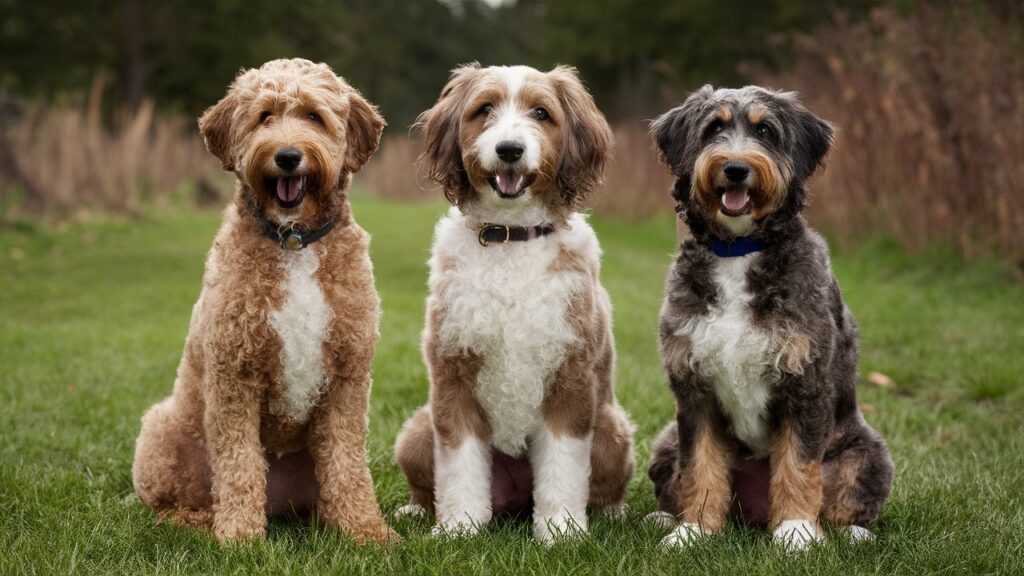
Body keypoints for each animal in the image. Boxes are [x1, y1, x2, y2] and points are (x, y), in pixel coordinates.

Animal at [130, 58, 393, 541]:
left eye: (314, 116)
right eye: (264, 116)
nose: (287, 156)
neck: (294, 241)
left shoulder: (347, 377)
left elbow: (348, 464)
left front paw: (367, 532)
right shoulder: (235, 374)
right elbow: (239, 464)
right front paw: (240, 537)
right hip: (161, 431)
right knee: (171, 506)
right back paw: (202, 521)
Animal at [391, 65, 630, 541]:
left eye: (541, 113)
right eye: (484, 109)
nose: (509, 149)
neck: (509, 238)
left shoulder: (570, 377)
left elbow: (563, 467)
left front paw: (561, 531)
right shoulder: (453, 376)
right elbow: (460, 465)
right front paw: (458, 528)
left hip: (614, 432)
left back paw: (611, 513)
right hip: (417, 431)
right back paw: (416, 510)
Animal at [647, 84, 897, 545]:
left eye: (765, 131)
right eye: (714, 129)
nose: (735, 169)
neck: (738, 251)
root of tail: (754, 515)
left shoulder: (806, 384)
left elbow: (798, 465)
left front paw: (796, 532)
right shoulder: (693, 391)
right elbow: (700, 466)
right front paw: (695, 530)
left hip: (867, 453)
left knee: (841, 504)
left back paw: (850, 533)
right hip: (666, 440)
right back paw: (665, 518)